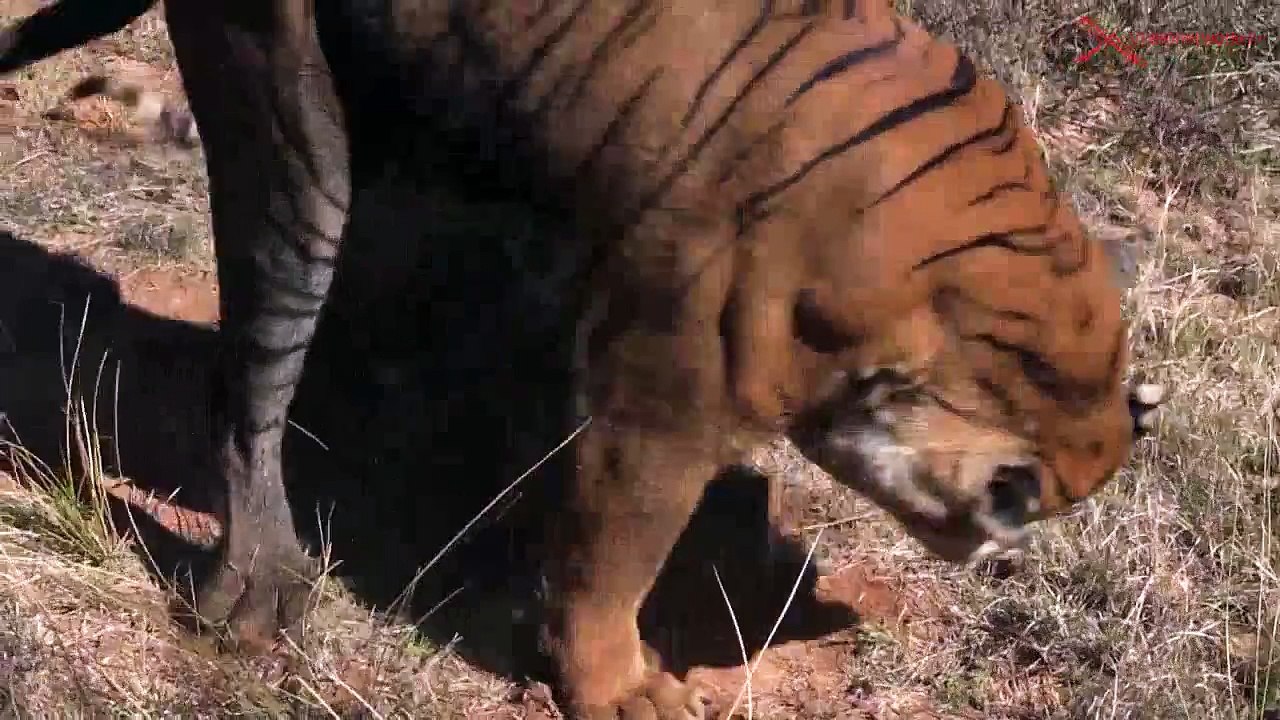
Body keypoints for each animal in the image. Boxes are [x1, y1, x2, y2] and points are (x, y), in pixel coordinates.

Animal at [0, 1, 1164, 718]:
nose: (999, 541)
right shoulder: (665, 391)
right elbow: (619, 549)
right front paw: (620, 685)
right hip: (292, 124)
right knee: (255, 372)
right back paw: (258, 593)